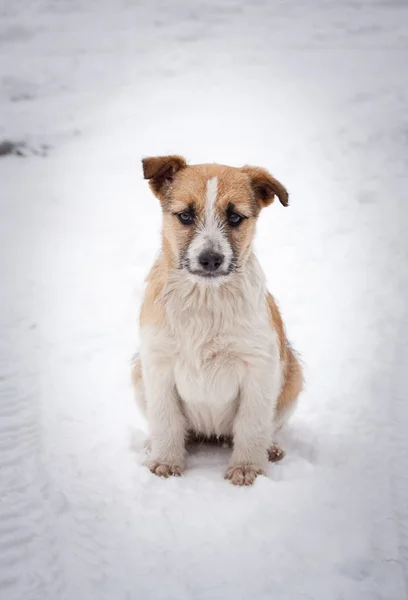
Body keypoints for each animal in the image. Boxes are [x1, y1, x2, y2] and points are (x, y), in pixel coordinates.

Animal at [132, 157, 302, 486]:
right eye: (185, 216)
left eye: (235, 217)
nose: (210, 259)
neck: (205, 298)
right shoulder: (158, 364)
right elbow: (166, 420)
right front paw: (166, 462)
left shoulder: (259, 367)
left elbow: (252, 424)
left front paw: (247, 468)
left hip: (293, 378)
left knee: (267, 427)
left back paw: (270, 449)